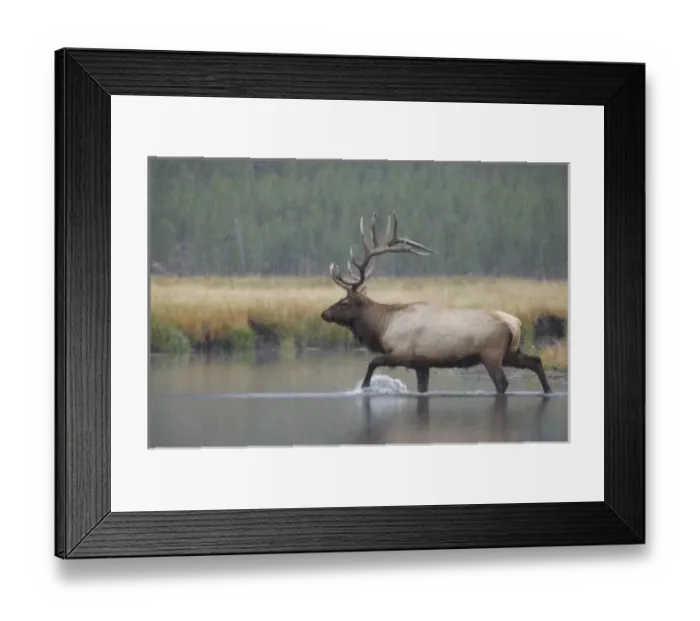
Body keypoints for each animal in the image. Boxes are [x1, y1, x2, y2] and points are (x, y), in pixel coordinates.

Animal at [320, 212, 553, 395]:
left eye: (345, 302)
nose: (324, 314)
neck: (383, 326)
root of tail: (515, 323)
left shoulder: (402, 353)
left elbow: (372, 362)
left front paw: (364, 387)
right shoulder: (422, 365)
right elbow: (422, 388)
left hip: (491, 353)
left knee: (502, 383)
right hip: (510, 353)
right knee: (536, 361)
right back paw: (548, 390)